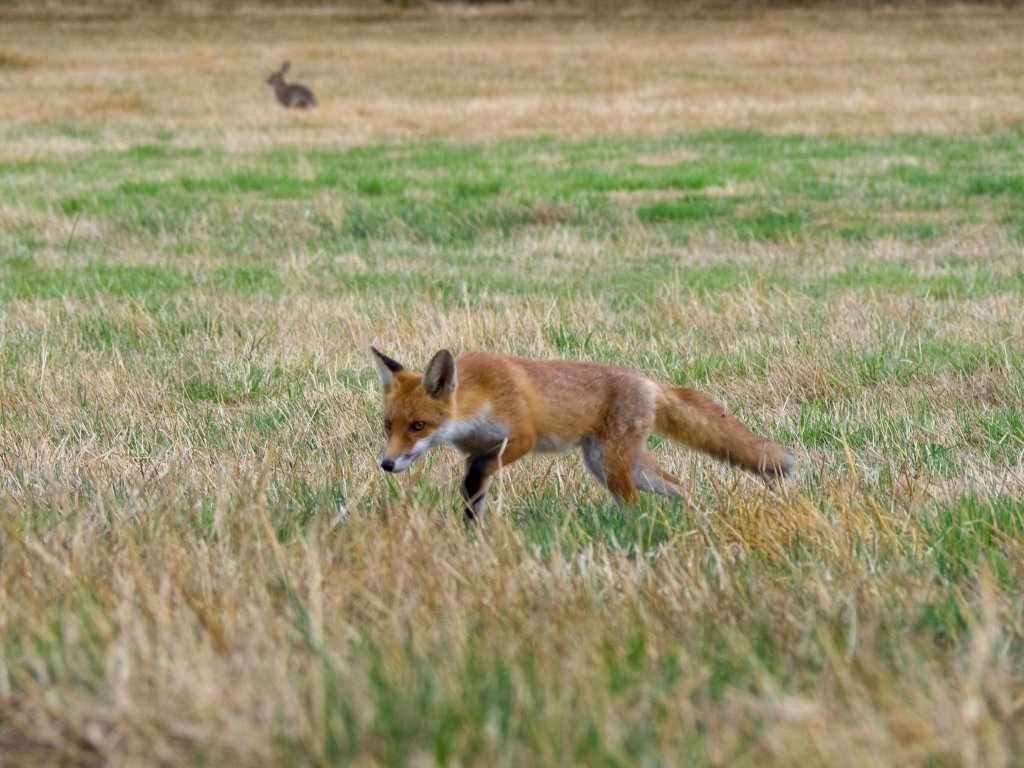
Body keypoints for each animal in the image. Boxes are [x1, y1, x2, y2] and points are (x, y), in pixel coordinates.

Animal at [371, 347, 795, 521]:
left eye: (418, 426)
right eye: (388, 425)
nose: (386, 464)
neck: (481, 395)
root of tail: (648, 382)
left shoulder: (520, 437)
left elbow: (478, 473)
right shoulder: (475, 450)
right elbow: (473, 487)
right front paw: (471, 529)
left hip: (611, 465)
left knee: (635, 504)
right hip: (623, 466)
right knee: (679, 485)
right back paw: (693, 520)